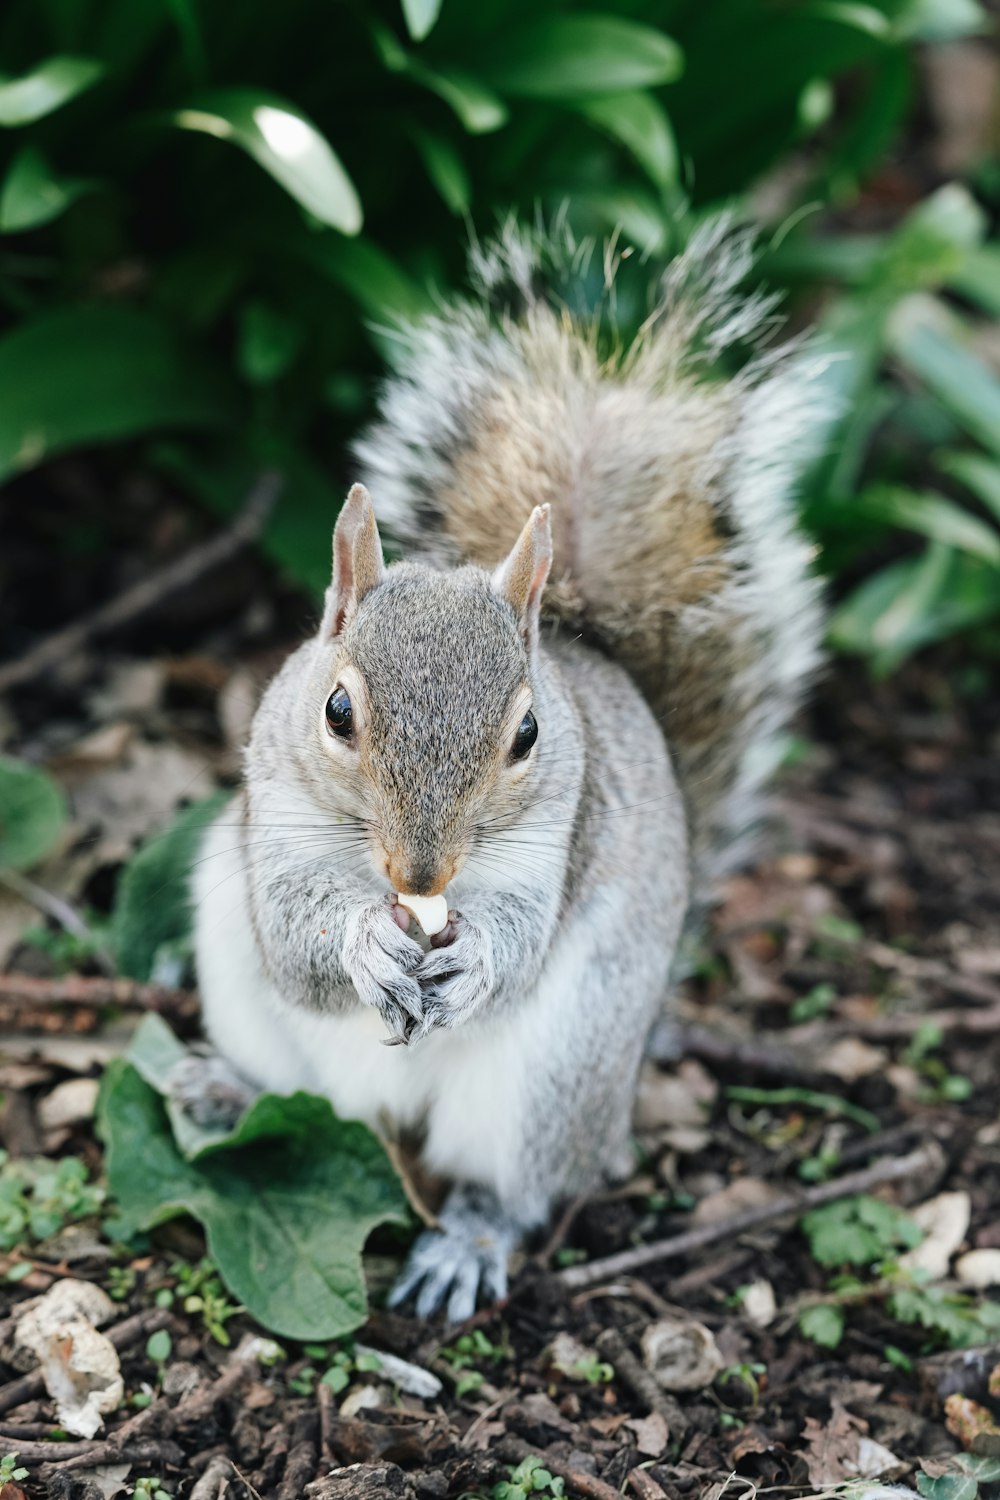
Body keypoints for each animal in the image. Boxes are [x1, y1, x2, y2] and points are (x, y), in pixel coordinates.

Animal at [183, 217, 827, 1320]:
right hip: (235, 974)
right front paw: (363, 941)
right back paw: (226, 1091)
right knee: (296, 1094)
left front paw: (475, 954)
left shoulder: (558, 835)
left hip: (559, 1069)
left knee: (510, 1184)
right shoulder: (272, 825)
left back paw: (468, 1240)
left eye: (527, 735)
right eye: (336, 710)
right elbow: (300, 943)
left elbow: (520, 943)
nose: (421, 876)